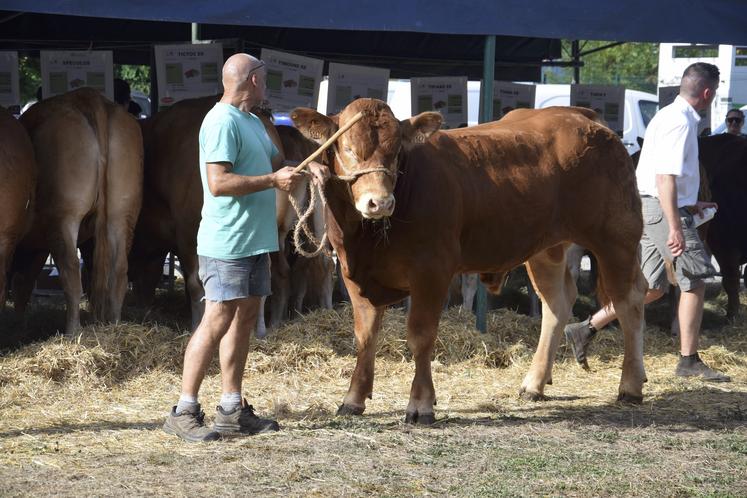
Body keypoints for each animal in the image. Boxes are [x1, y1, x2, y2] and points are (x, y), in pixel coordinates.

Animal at [11, 88, 143, 334]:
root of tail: (90, 97)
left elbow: (20, 282)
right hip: (122, 214)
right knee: (119, 268)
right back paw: (114, 324)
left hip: (65, 216)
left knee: (71, 270)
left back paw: (72, 331)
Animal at [292, 101, 648, 424]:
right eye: (349, 148)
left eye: (396, 151)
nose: (379, 202)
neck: (366, 239)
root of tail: (582, 115)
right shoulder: (353, 274)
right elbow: (365, 336)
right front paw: (353, 399)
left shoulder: (432, 271)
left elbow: (421, 336)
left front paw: (420, 404)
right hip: (546, 249)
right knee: (558, 304)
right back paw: (534, 384)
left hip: (616, 238)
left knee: (629, 301)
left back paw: (630, 385)